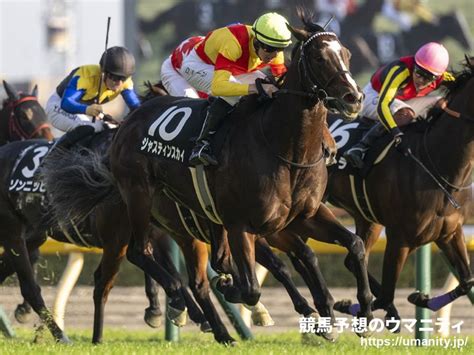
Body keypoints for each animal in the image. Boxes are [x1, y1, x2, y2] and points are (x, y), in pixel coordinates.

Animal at [326, 57, 474, 318]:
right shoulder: (399, 239)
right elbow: (386, 295)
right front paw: (351, 306)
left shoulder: (449, 232)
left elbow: (467, 281)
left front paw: (421, 297)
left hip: (368, 219)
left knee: (352, 260)